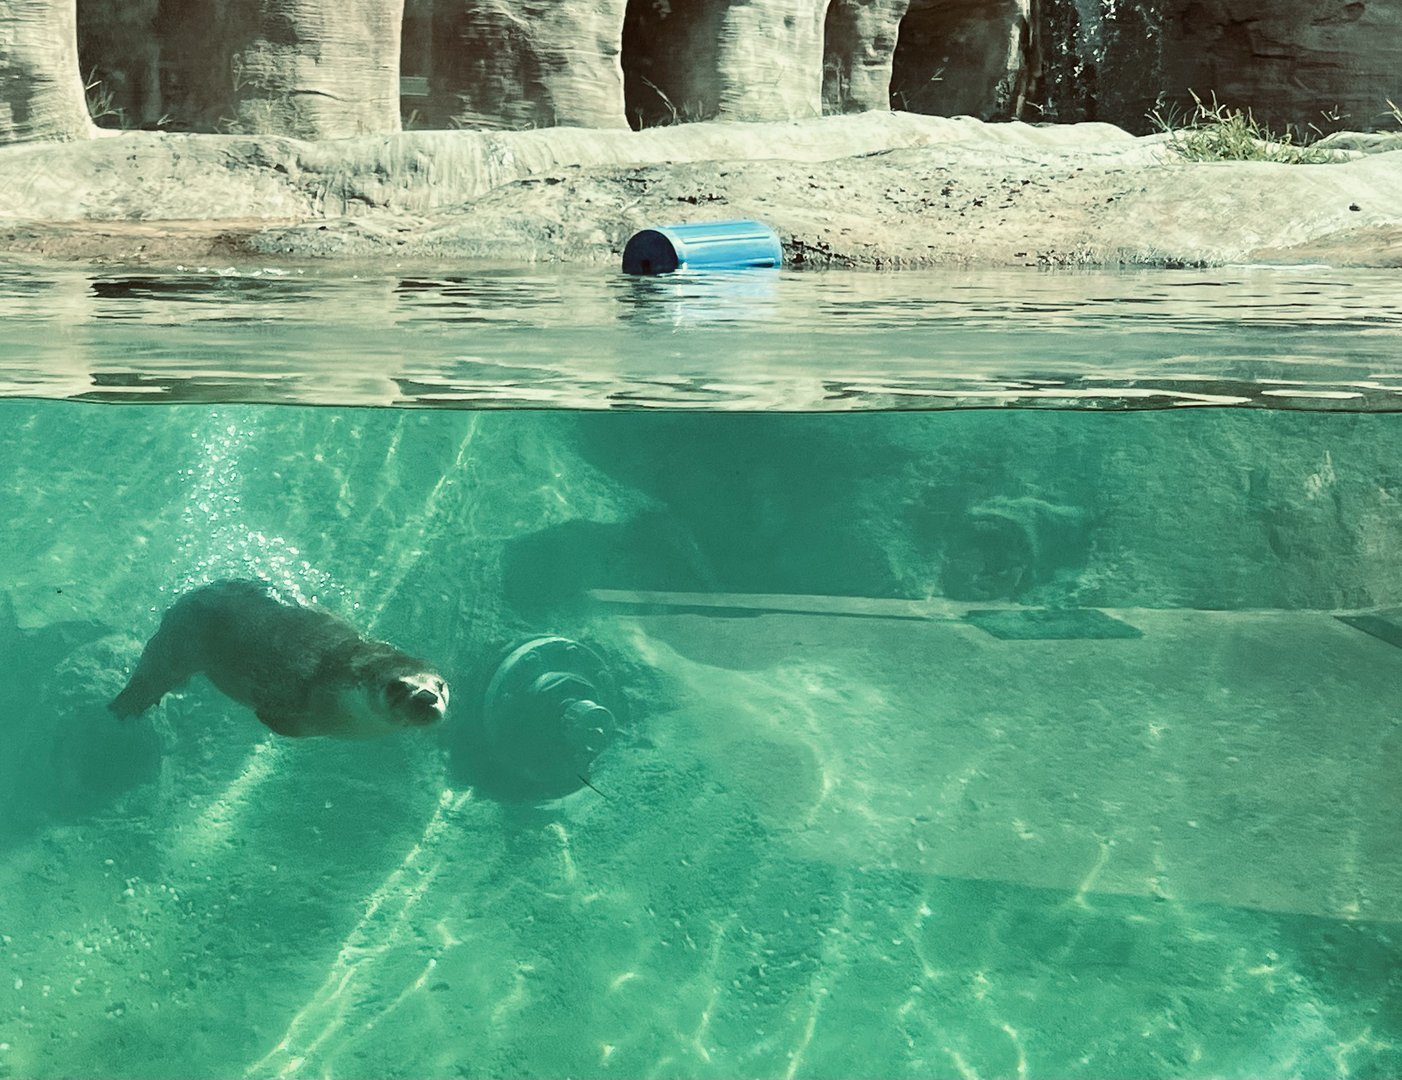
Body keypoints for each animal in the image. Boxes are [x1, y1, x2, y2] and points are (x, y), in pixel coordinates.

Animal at [110, 580, 449, 738]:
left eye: (441, 685)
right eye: (397, 686)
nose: (427, 697)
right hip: (178, 642)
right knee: (153, 673)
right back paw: (124, 706)